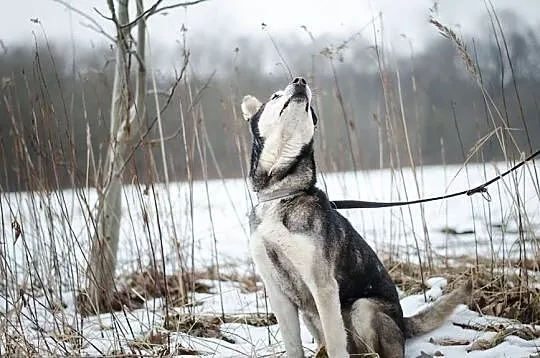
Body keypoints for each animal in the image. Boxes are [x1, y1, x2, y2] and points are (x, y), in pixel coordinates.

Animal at [243, 78, 470, 358]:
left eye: (310, 107)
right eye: (275, 96)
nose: (300, 81)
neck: (282, 193)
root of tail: (403, 323)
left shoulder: (323, 285)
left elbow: (335, 342)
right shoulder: (277, 293)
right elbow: (293, 346)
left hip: (364, 308)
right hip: (311, 317)